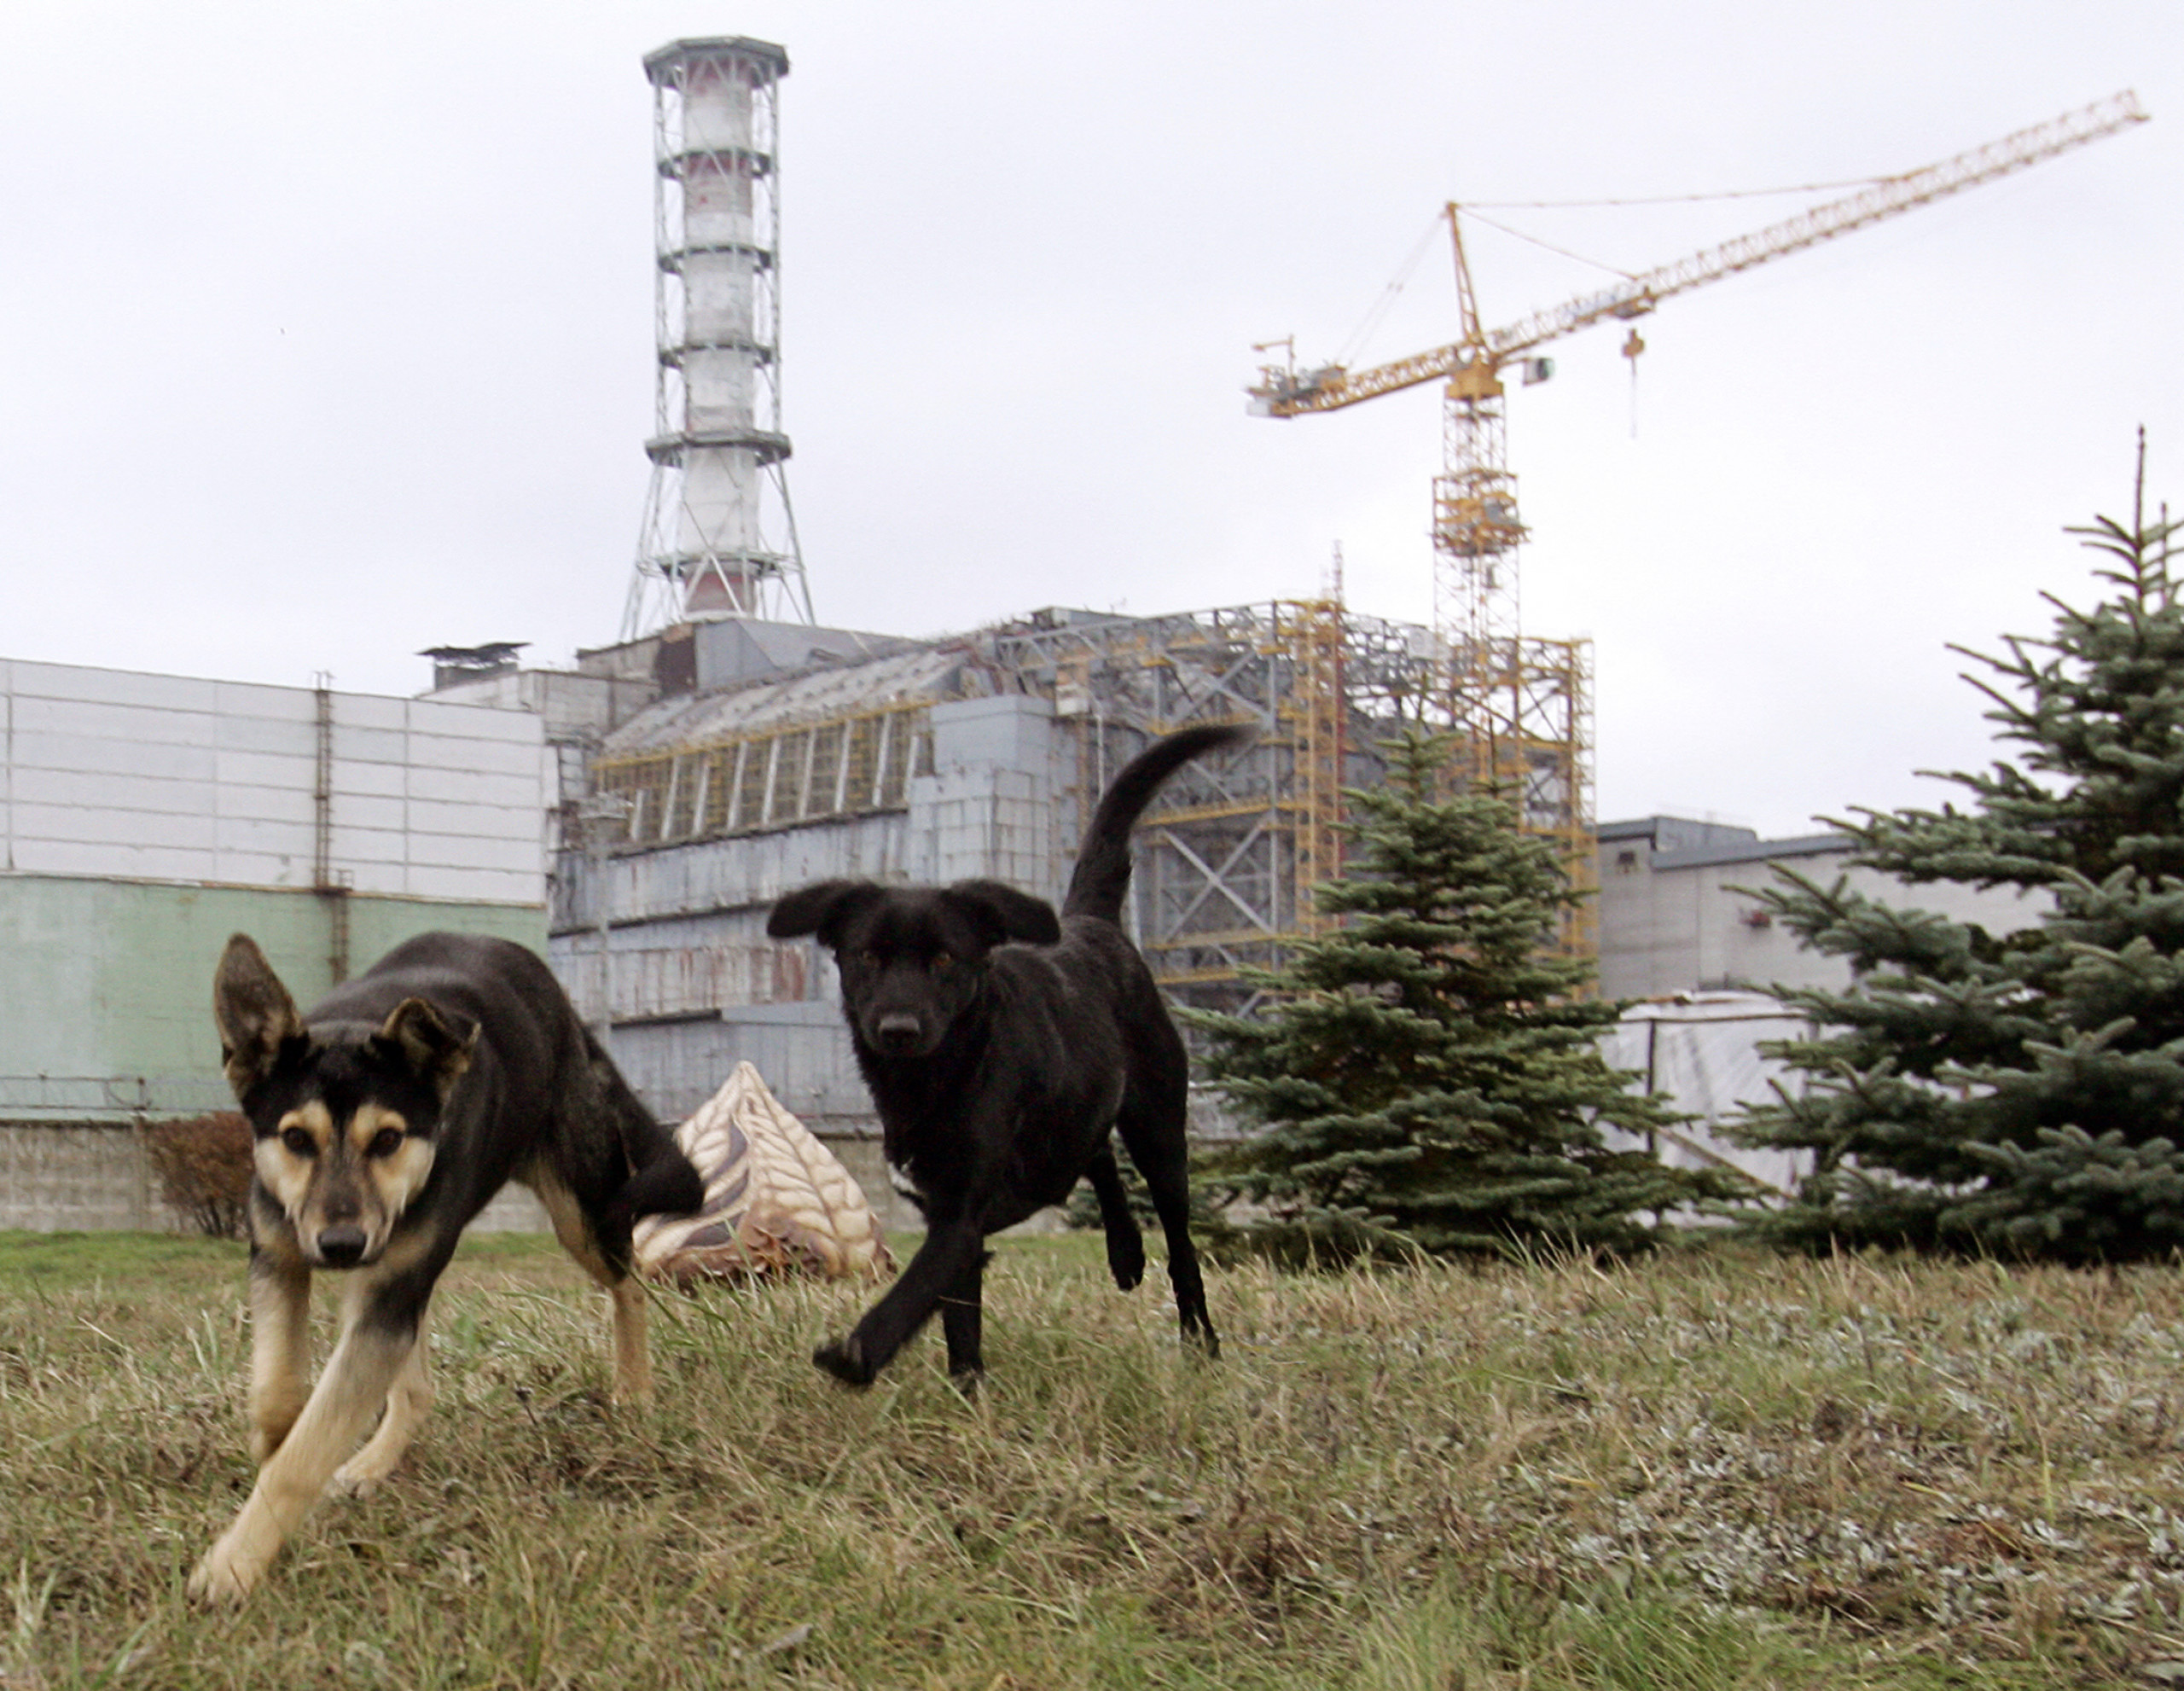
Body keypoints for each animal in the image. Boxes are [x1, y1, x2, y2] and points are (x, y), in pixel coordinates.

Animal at [191, 934, 699, 1607]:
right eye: (296, 1139)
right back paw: (374, 1461)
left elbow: (306, 1452)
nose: (341, 1245)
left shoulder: (388, 1287)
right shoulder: (280, 1256)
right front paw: (273, 1448)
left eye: (387, 1140)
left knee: (629, 1279)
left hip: (581, 1212)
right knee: (416, 1388)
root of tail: (569, 1015)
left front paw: (235, 1564)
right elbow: (279, 1394)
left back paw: (634, 1388)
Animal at [769, 721, 1258, 1380]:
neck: (938, 1079)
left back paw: (1199, 1338)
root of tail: (1091, 923)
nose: (899, 1028)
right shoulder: (949, 1217)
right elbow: (957, 1321)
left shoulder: (959, 1218)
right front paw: (966, 1388)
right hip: (1078, 1117)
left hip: (1160, 1130)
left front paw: (858, 1353)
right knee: (1095, 1153)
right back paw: (1126, 1252)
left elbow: (912, 1291)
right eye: (866, 955)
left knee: (1179, 1242)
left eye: (944, 958)